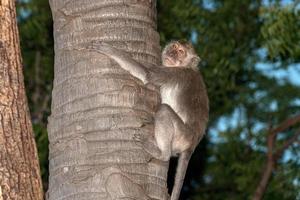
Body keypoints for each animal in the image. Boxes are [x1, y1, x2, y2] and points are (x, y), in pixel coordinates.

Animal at [86, 41, 209, 200]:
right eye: (175, 47)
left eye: (181, 52)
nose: (172, 54)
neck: (187, 67)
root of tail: (192, 144)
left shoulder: (175, 74)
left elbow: (147, 74)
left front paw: (111, 50)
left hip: (182, 135)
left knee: (164, 110)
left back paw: (162, 154)